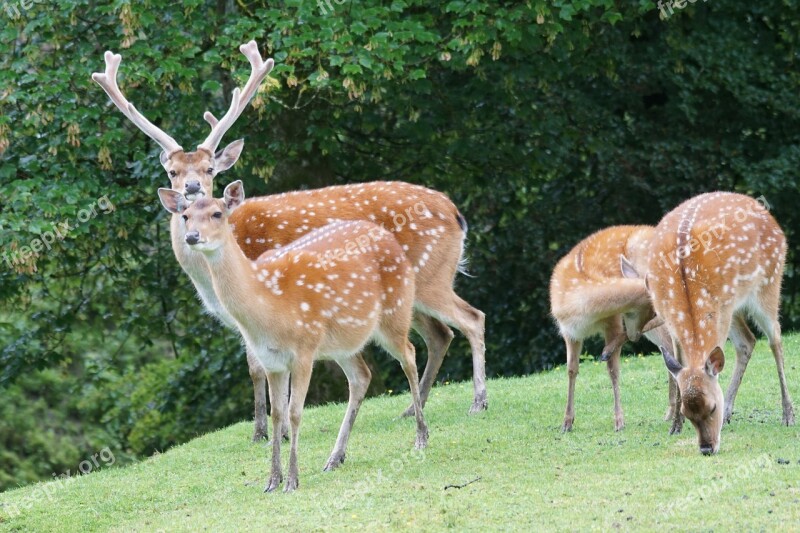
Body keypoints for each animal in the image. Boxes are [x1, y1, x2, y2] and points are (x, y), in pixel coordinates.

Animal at [90, 43, 484, 440]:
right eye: (172, 171)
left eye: (209, 169)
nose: (192, 188)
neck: (209, 280)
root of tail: (455, 212)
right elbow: (256, 367)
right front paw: (261, 431)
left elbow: (262, 366)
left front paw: (269, 432)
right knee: (440, 334)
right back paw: (410, 410)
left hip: (431, 275)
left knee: (471, 317)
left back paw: (477, 402)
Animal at [159, 181, 428, 492]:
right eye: (185, 216)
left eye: (217, 213)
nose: (192, 237)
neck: (267, 305)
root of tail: (390, 239)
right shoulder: (272, 361)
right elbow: (277, 414)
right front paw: (272, 481)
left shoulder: (304, 349)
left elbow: (295, 412)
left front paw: (292, 480)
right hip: (342, 343)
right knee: (362, 376)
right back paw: (335, 458)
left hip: (395, 313)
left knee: (410, 354)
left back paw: (421, 437)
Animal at [548, 225, 672, 432]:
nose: (636, 335)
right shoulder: (569, 331)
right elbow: (571, 369)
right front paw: (566, 422)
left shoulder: (613, 321)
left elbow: (613, 369)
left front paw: (619, 421)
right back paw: (671, 414)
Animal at [624, 191, 792, 454]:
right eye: (688, 413)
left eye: (712, 407)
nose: (706, 448)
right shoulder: (673, 318)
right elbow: (678, 366)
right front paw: (675, 426)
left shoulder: (721, 309)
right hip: (735, 305)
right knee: (748, 341)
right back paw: (731, 413)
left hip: (769, 281)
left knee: (775, 338)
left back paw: (788, 414)